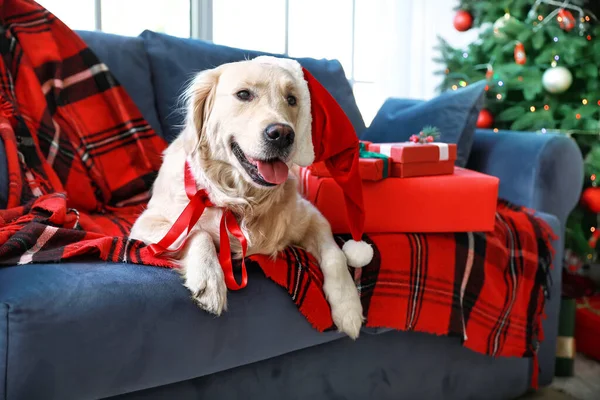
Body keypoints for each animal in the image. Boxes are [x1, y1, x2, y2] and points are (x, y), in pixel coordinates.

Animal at [131, 55, 364, 338]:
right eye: (243, 94)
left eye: (292, 99)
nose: (283, 134)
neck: (243, 198)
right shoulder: (148, 222)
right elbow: (196, 232)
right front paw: (209, 279)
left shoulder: (312, 216)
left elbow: (336, 254)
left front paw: (349, 307)